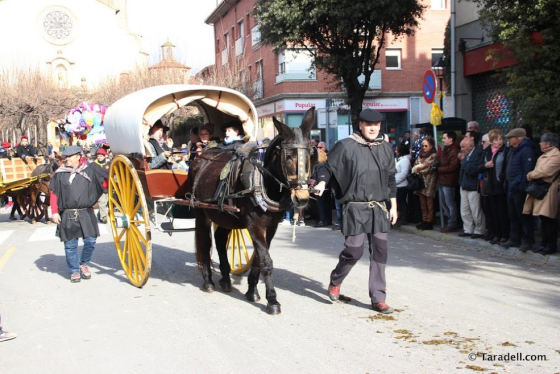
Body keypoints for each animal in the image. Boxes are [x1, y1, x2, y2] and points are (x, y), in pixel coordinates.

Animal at [188, 107, 318, 312]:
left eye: (311, 156)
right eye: (288, 156)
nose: (302, 198)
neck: (263, 180)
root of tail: (200, 158)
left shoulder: (270, 227)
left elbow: (258, 259)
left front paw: (252, 291)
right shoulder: (254, 226)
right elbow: (266, 261)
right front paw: (272, 300)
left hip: (225, 215)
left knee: (220, 240)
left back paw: (225, 279)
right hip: (202, 214)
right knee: (205, 243)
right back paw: (208, 281)